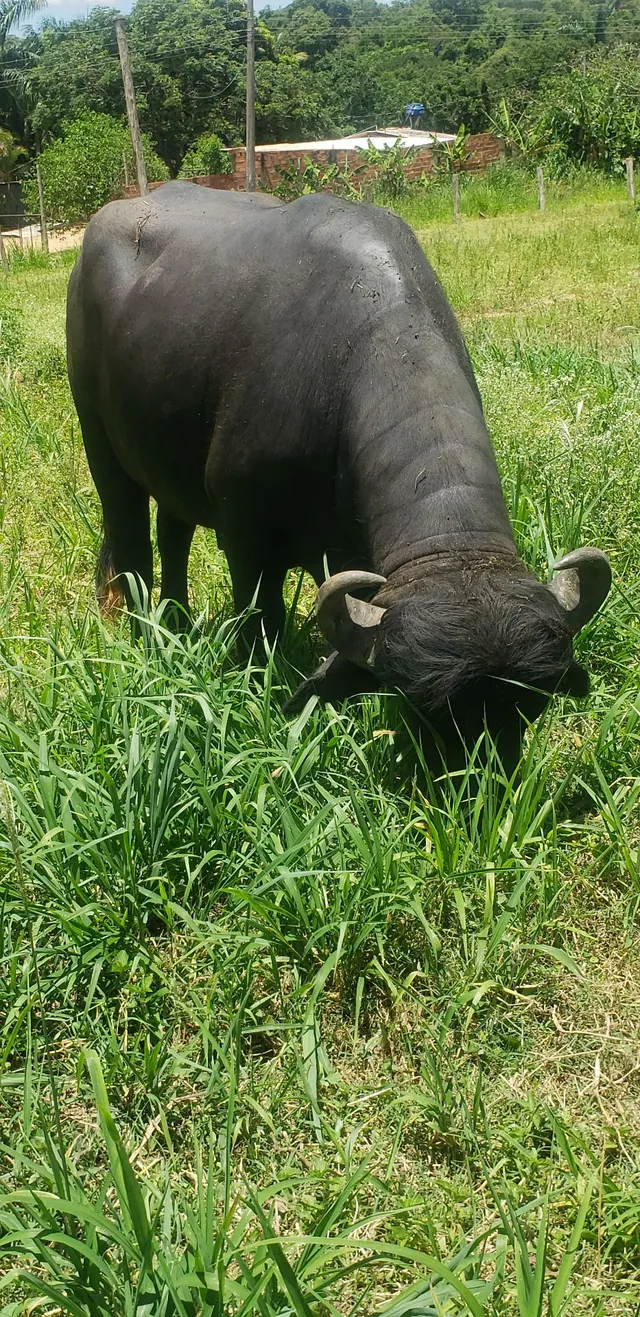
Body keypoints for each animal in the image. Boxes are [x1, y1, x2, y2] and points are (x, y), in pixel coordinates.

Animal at [67, 183, 611, 770]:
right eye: (424, 707)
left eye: (531, 704)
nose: (482, 780)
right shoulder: (245, 532)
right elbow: (262, 617)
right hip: (100, 443)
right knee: (130, 539)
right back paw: (143, 629)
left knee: (174, 532)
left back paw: (178, 619)